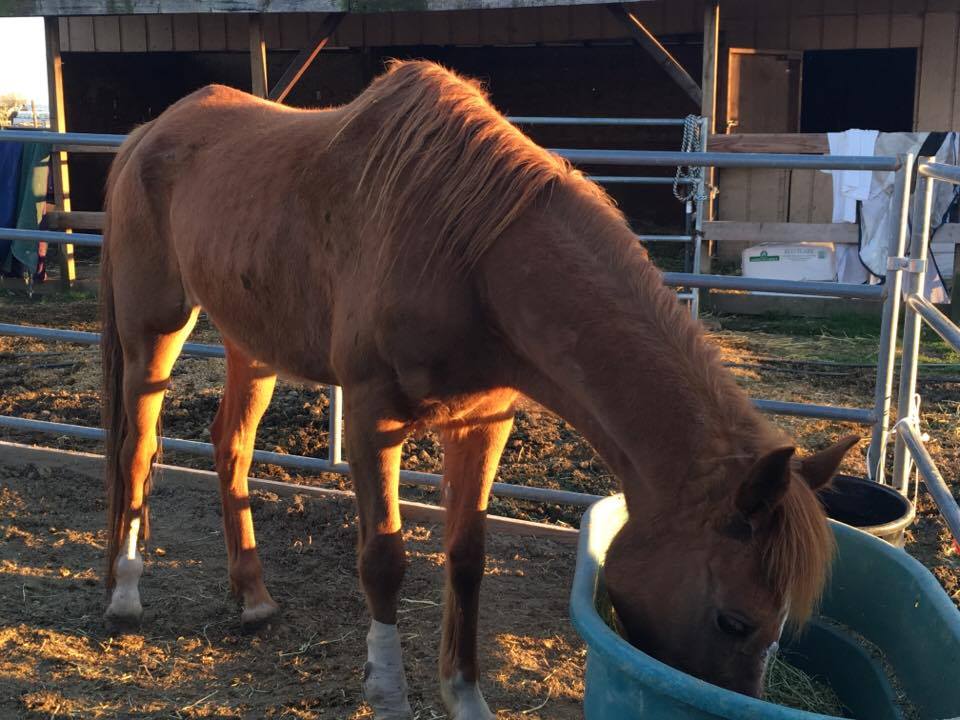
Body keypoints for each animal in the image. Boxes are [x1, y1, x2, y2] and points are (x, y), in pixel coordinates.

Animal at [100, 60, 857, 718]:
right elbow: (385, 558)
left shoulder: (483, 423)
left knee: (230, 447)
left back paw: (253, 597)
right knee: (138, 446)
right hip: (153, 328)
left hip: (251, 345)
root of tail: (149, 132)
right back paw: (125, 593)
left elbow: (467, 560)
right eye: (734, 620)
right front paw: (390, 696)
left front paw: (464, 697)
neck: (467, 253)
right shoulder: (372, 418)